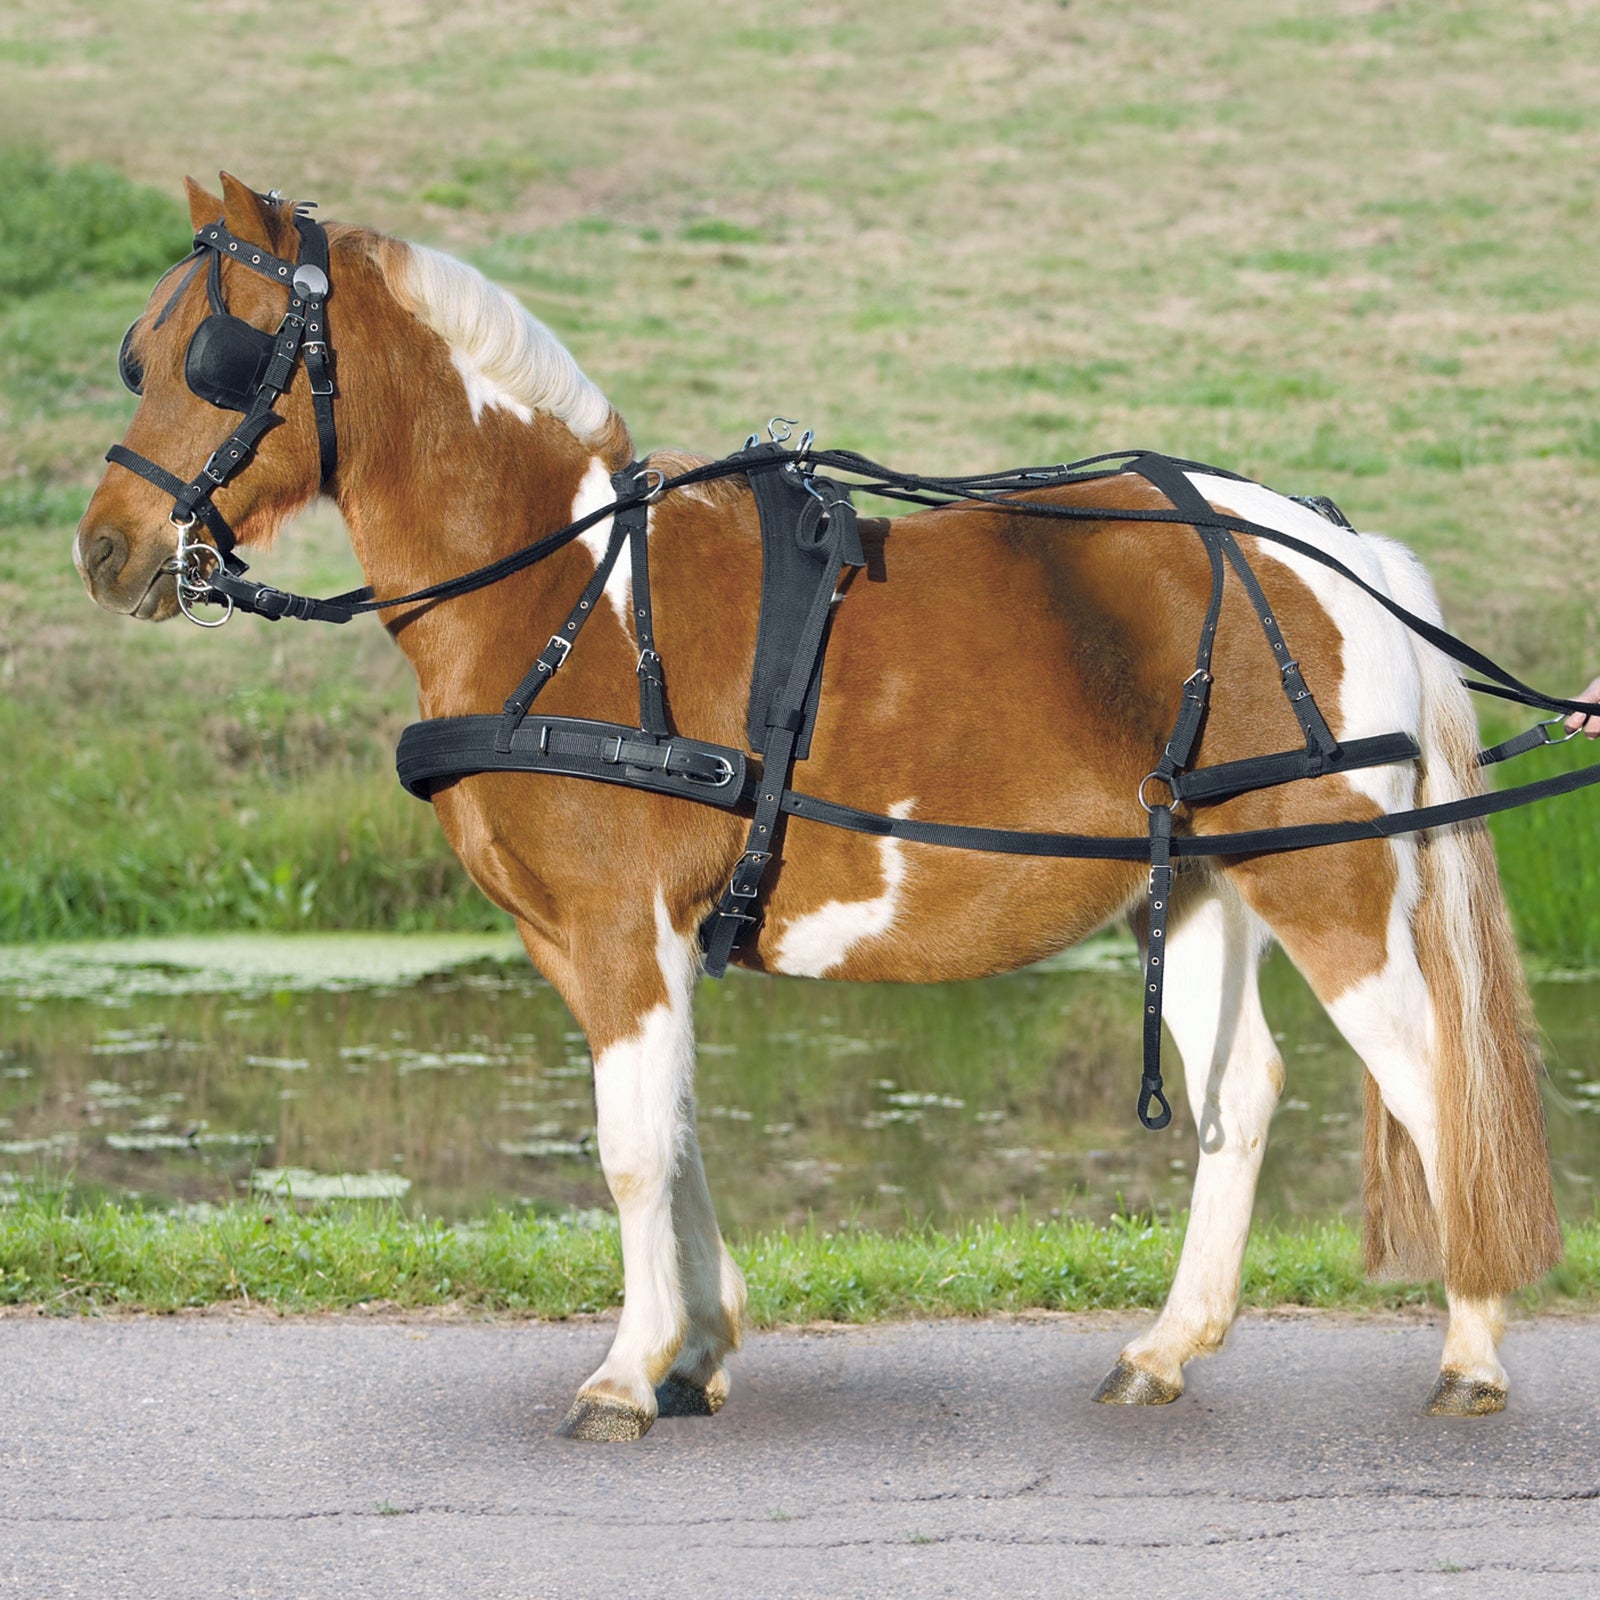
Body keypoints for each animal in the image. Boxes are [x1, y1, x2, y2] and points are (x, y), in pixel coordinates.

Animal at [75, 174, 1562, 1439]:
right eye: (140, 356)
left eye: (222, 356)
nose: (106, 550)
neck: (563, 591)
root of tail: (1341, 550)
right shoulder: (608, 941)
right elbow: (672, 1128)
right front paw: (696, 1348)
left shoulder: (617, 925)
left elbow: (628, 1147)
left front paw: (626, 1370)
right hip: (1205, 876)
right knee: (1237, 1094)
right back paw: (1164, 1350)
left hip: (1327, 883)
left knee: (1433, 1076)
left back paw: (1473, 1348)